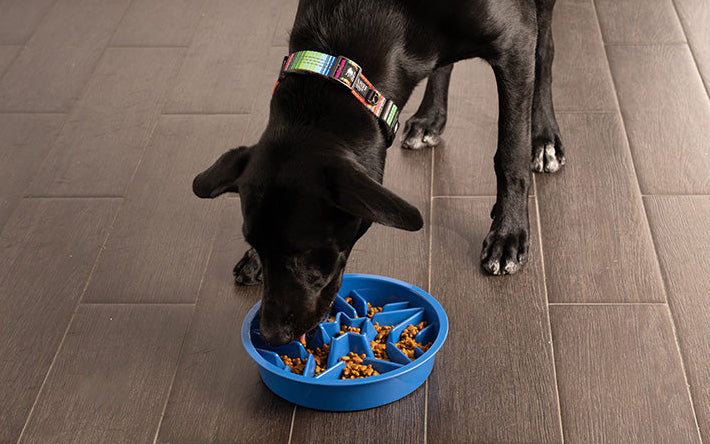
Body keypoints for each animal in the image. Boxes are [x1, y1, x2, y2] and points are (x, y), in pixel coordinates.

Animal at [192, 0, 564, 346]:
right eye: (255, 241)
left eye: (304, 253)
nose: (270, 336)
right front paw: (253, 260)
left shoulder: (515, 40)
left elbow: (510, 150)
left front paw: (508, 233)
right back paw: (430, 118)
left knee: (545, 49)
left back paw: (544, 138)